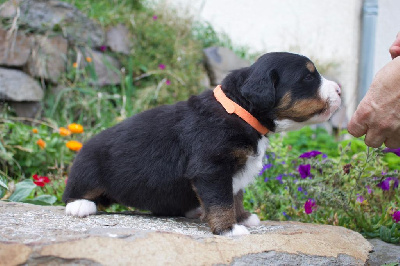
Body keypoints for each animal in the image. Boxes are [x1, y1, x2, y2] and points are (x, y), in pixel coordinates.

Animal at [62, 51, 340, 235]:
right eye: (307, 77)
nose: (339, 90)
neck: (239, 111)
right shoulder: (212, 167)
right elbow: (221, 200)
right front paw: (229, 229)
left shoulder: (231, 170)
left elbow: (235, 194)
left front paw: (243, 217)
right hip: (87, 169)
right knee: (74, 194)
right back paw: (80, 205)